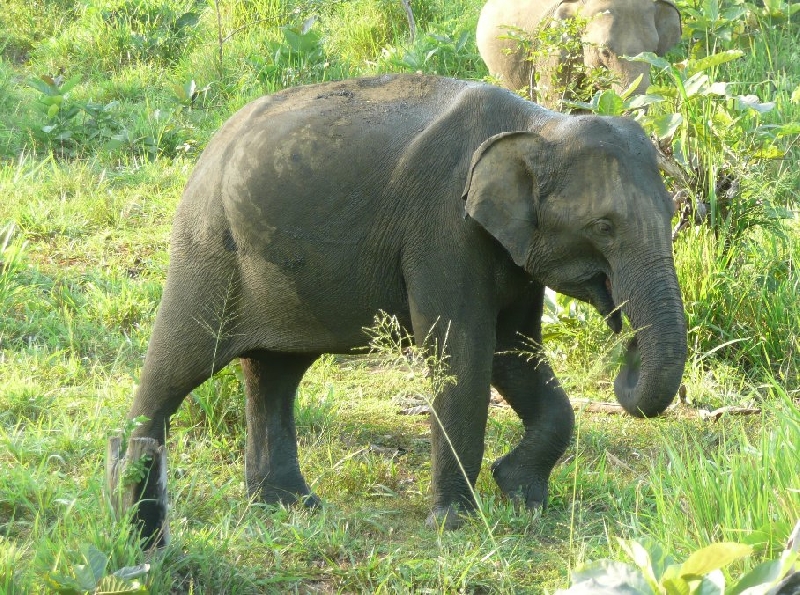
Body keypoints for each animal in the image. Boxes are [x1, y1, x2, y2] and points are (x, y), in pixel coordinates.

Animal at [125, 73, 688, 544]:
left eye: (671, 212)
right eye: (603, 226)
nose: (628, 348)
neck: (540, 126)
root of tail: (212, 142)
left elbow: (516, 353)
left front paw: (521, 496)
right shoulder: (444, 231)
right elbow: (462, 355)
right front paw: (455, 524)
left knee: (275, 373)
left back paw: (290, 506)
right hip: (207, 247)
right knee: (179, 365)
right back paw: (134, 515)